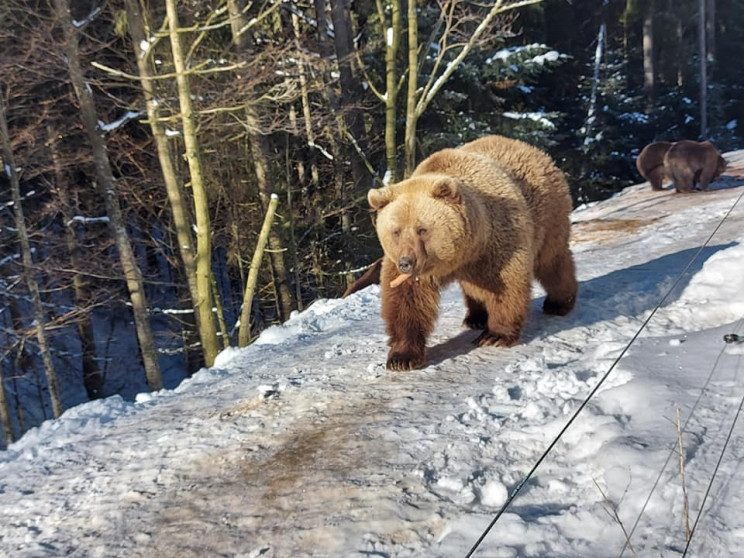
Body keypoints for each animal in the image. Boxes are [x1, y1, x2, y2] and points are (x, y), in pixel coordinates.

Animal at [370, 135, 580, 372]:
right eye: (396, 231)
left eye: (422, 229)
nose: (406, 263)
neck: (462, 253)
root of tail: (531, 149)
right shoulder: (414, 269)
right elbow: (407, 301)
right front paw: (401, 357)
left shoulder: (499, 244)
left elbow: (507, 285)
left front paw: (495, 336)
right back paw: (475, 317)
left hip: (547, 214)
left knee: (552, 261)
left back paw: (559, 302)